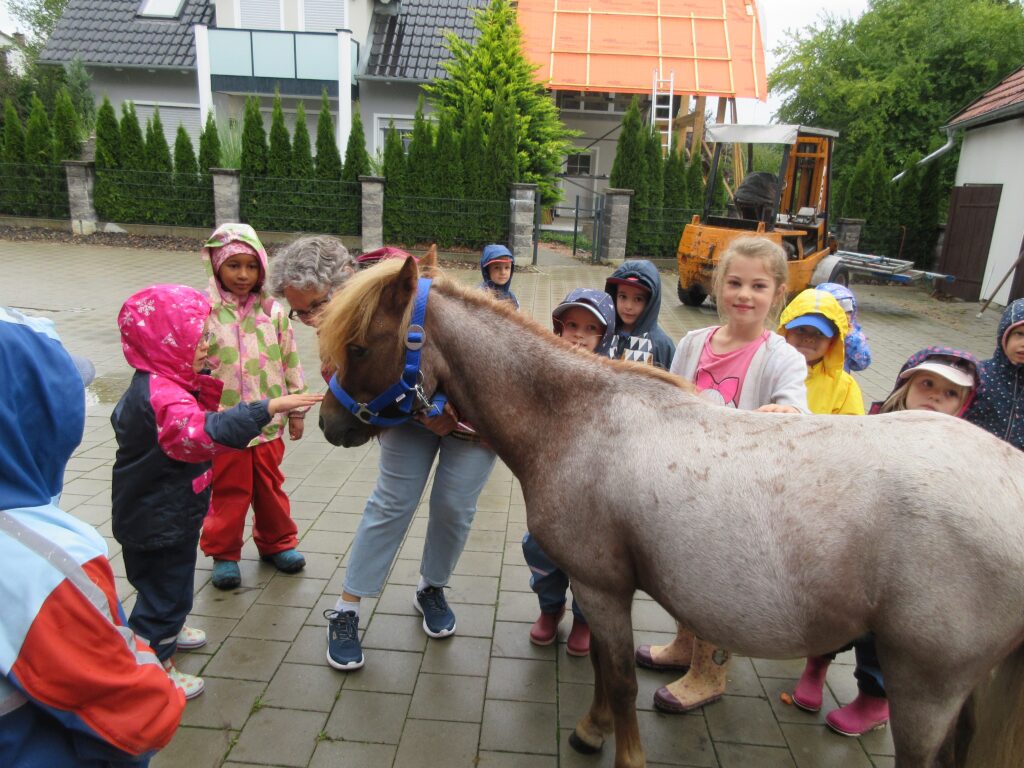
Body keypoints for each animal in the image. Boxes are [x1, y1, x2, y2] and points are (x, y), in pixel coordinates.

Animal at [315, 253, 1024, 768]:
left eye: (360, 345)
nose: (327, 425)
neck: (579, 419)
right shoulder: (603, 589)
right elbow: (605, 672)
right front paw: (593, 729)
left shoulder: (601, 586)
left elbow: (620, 679)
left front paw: (617, 749)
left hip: (925, 686)